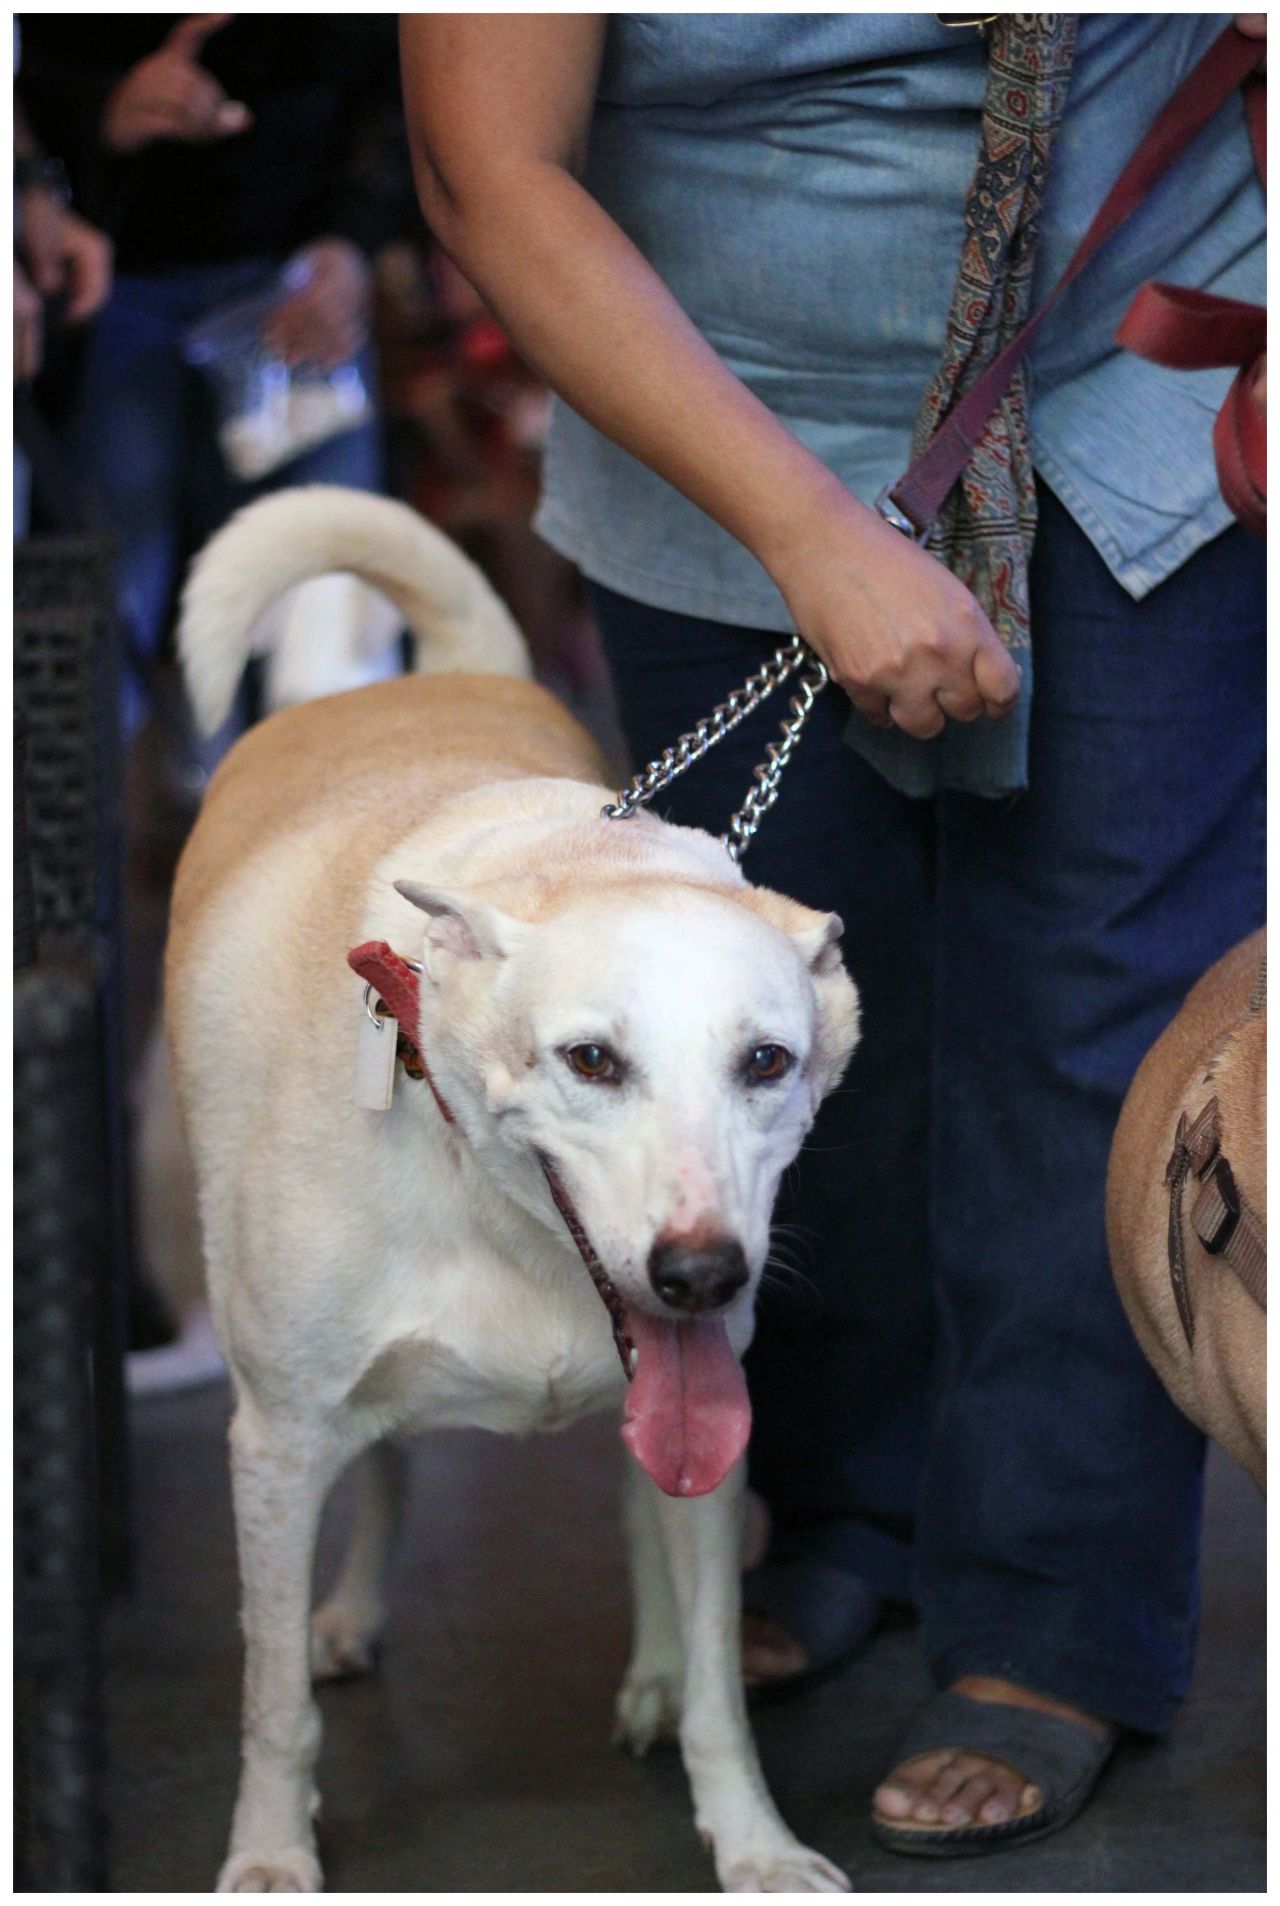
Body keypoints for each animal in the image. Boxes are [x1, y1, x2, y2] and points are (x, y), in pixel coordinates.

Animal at [162, 487, 860, 1890]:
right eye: (590, 1060)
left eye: (766, 1062)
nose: (701, 1274)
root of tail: (419, 680)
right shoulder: (274, 1439)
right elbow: (273, 1704)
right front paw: (268, 1852)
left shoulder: (705, 1416)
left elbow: (719, 1682)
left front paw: (754, 1844)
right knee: (383, 1473)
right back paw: (351, 1613)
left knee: (629, 1505)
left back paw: (647, 1669)